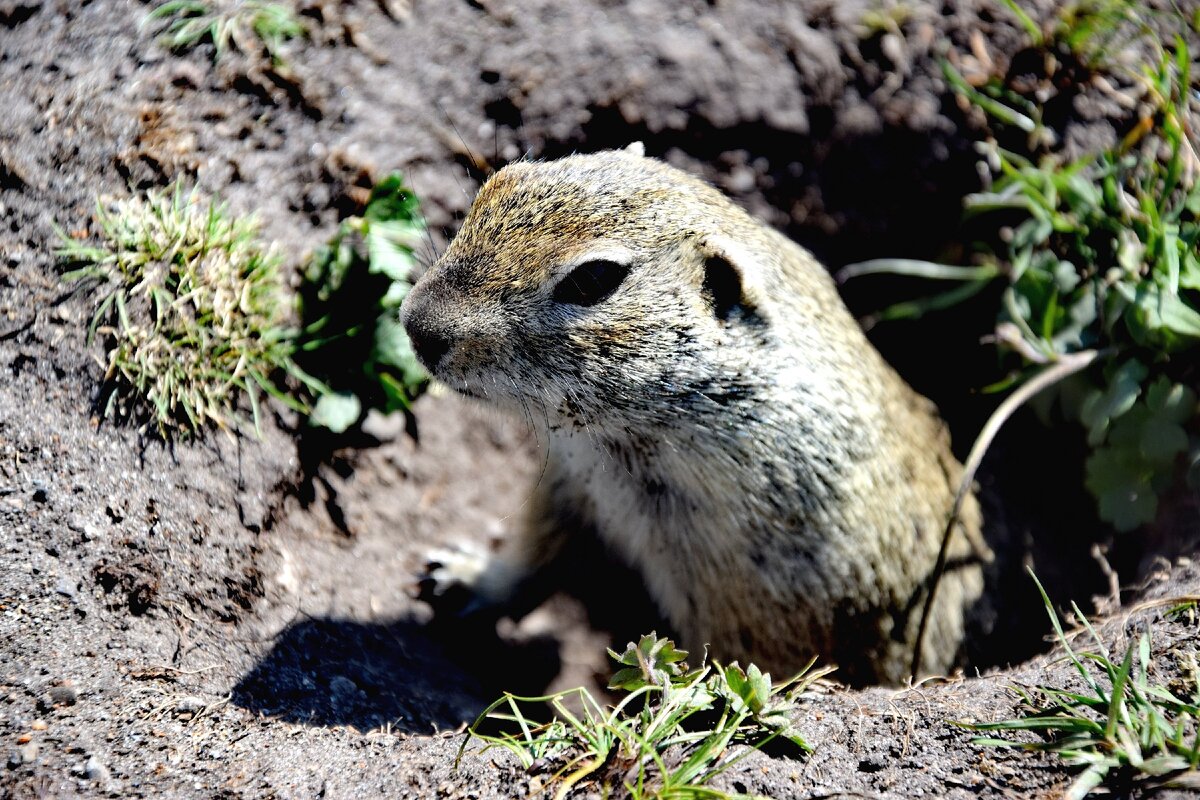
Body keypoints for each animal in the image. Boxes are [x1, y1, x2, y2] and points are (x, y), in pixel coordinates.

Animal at [398, 143, 988, 681]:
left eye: (593, 279)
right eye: (499, 184)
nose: (416, 325)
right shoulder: (570, 489)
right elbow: (530, 561)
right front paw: (458, 578)